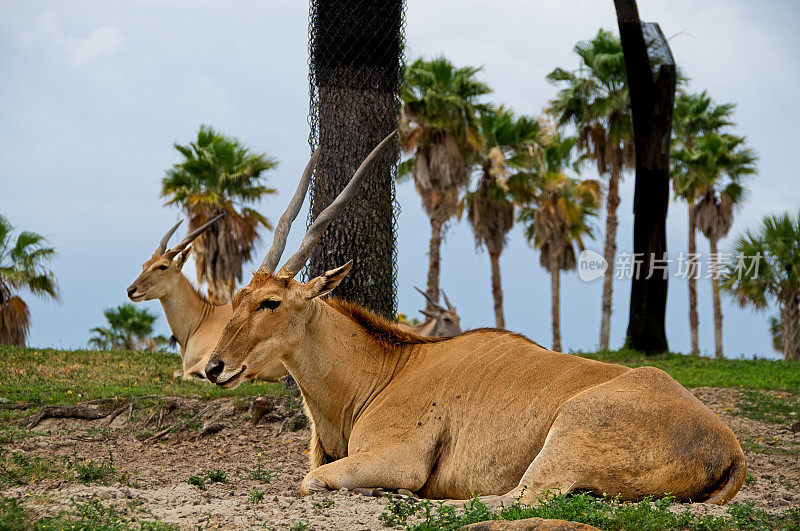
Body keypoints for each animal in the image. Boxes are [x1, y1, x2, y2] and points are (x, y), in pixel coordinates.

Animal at [203, 130, 748, 508]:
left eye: (271, 303)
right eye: (239, 297)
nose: (212, 367)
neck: (383, 369)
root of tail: (732, 449)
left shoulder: (398, 457)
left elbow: (312, 479)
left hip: (564, 440)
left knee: (515, 499)